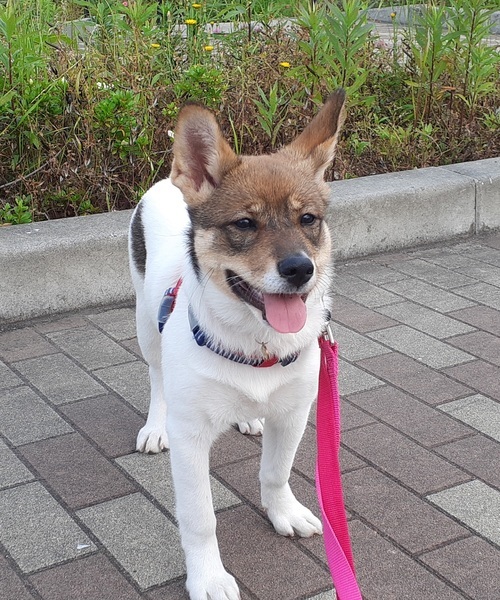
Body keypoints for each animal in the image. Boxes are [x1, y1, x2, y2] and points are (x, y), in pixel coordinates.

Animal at [128, 89, 346, 600]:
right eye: (245, 223)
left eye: (308, 219)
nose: (299, 269)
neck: (256, 346)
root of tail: (167, 183)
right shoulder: (191, 439)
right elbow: (199, 518)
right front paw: (208, 577)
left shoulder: (294, 412)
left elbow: (276, 472)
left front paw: (283, 512)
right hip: (146, 326)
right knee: (157, 376)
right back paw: (155, 424)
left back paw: (248, 418)